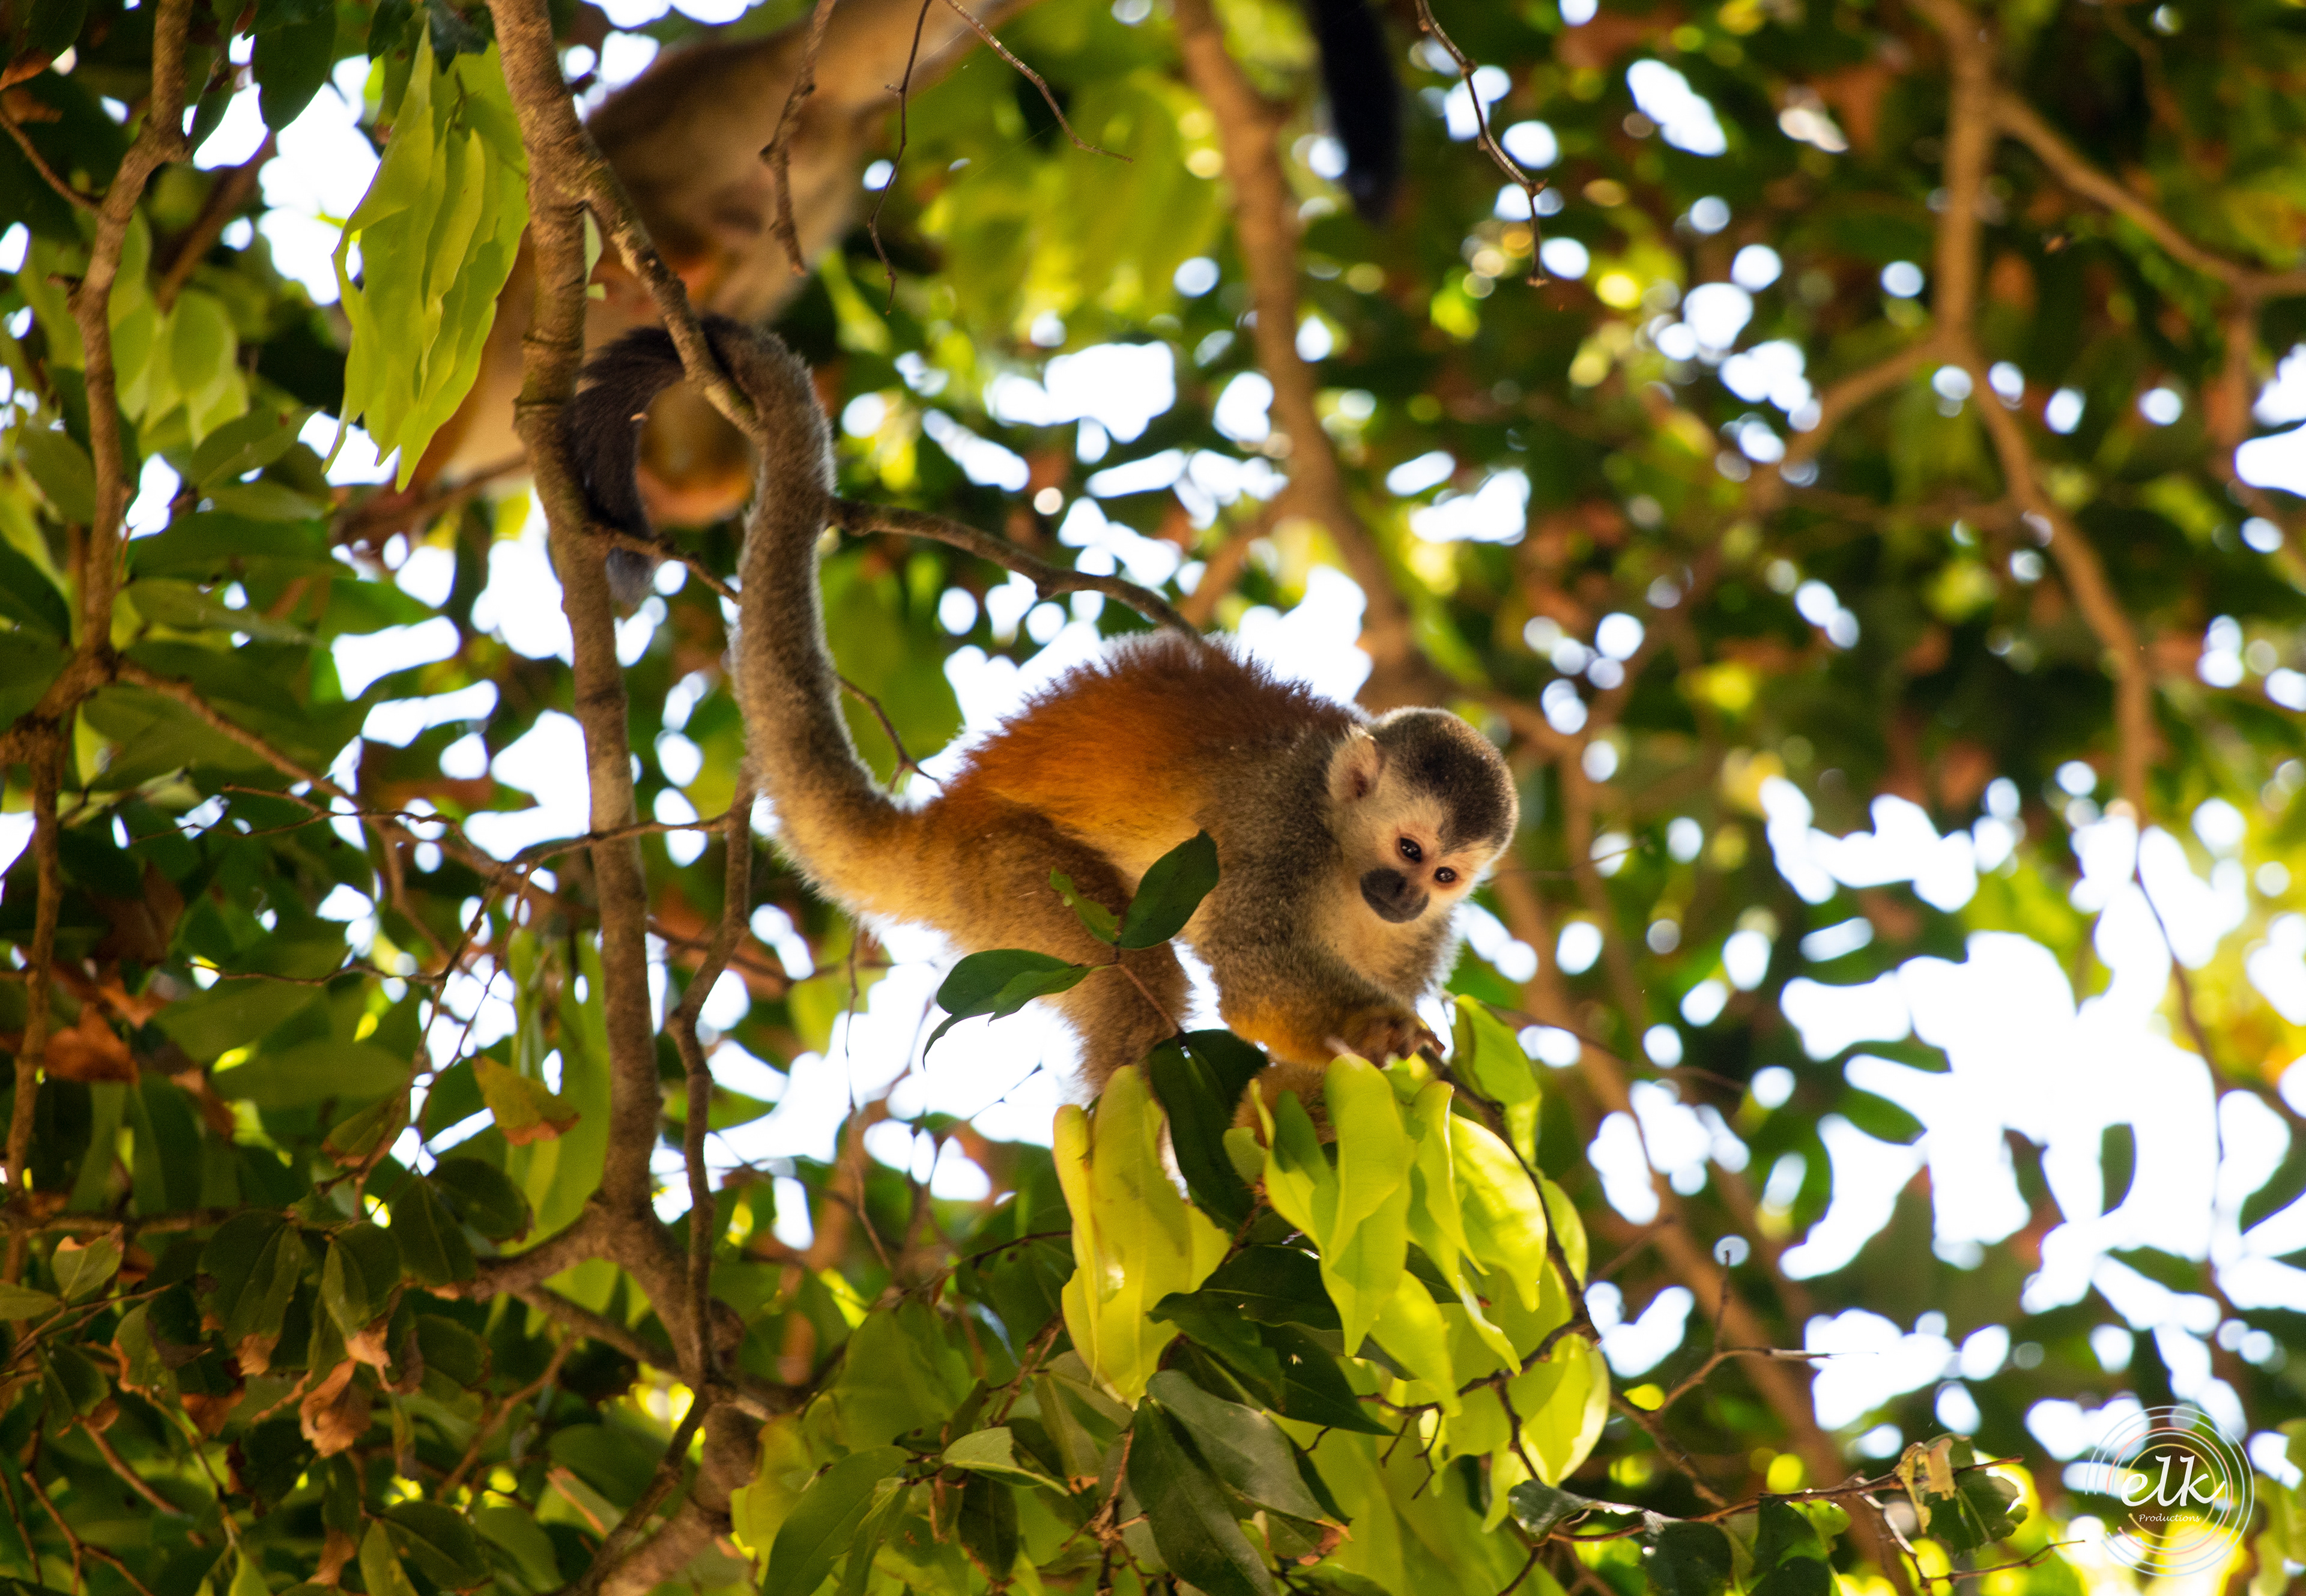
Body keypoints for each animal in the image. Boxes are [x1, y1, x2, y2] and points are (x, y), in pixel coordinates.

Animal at [567, 316, 1520, 1093]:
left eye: (1445, 875)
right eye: (1408, 847)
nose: (1405, 893)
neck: (1341, 853)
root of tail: (943, 820)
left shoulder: (1425, 936)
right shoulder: (1278, 830)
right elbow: (1254, 973)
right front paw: (1376, 1026)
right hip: (1006, 872)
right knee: (1130, 975)